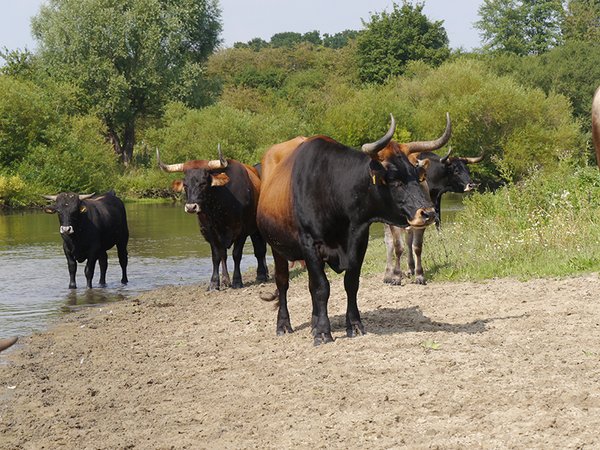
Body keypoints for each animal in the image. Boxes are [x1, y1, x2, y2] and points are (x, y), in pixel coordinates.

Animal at [157, 146, 268, 290]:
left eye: (203, 183)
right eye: (185, 184)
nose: (191, 207)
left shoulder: (241, 231)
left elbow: (236, 255)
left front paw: (237, 281)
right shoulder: (209, 232)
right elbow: (217, 256)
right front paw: (215, 283)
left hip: (256, 229)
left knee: (260, 251)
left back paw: (262, 274)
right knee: (224, 255)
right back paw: (226, 280)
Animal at [256, 113, 450, 344]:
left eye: (418, 175)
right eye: (395, 181)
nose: (428, 213)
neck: (332, 190)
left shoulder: (359, 240)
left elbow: (350, 283)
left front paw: (353, 325)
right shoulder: (310, 244)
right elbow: (321, 287)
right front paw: (323, 332)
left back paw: (313, 322)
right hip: (277, 247)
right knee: (283, 283)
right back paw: (284, 325)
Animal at [384, 147, 482, 284]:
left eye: (467, 170)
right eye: (456, 170)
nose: (471, 185)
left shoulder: (435, 205)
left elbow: (437, 227)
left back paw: (410, 268)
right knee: (390, 240)